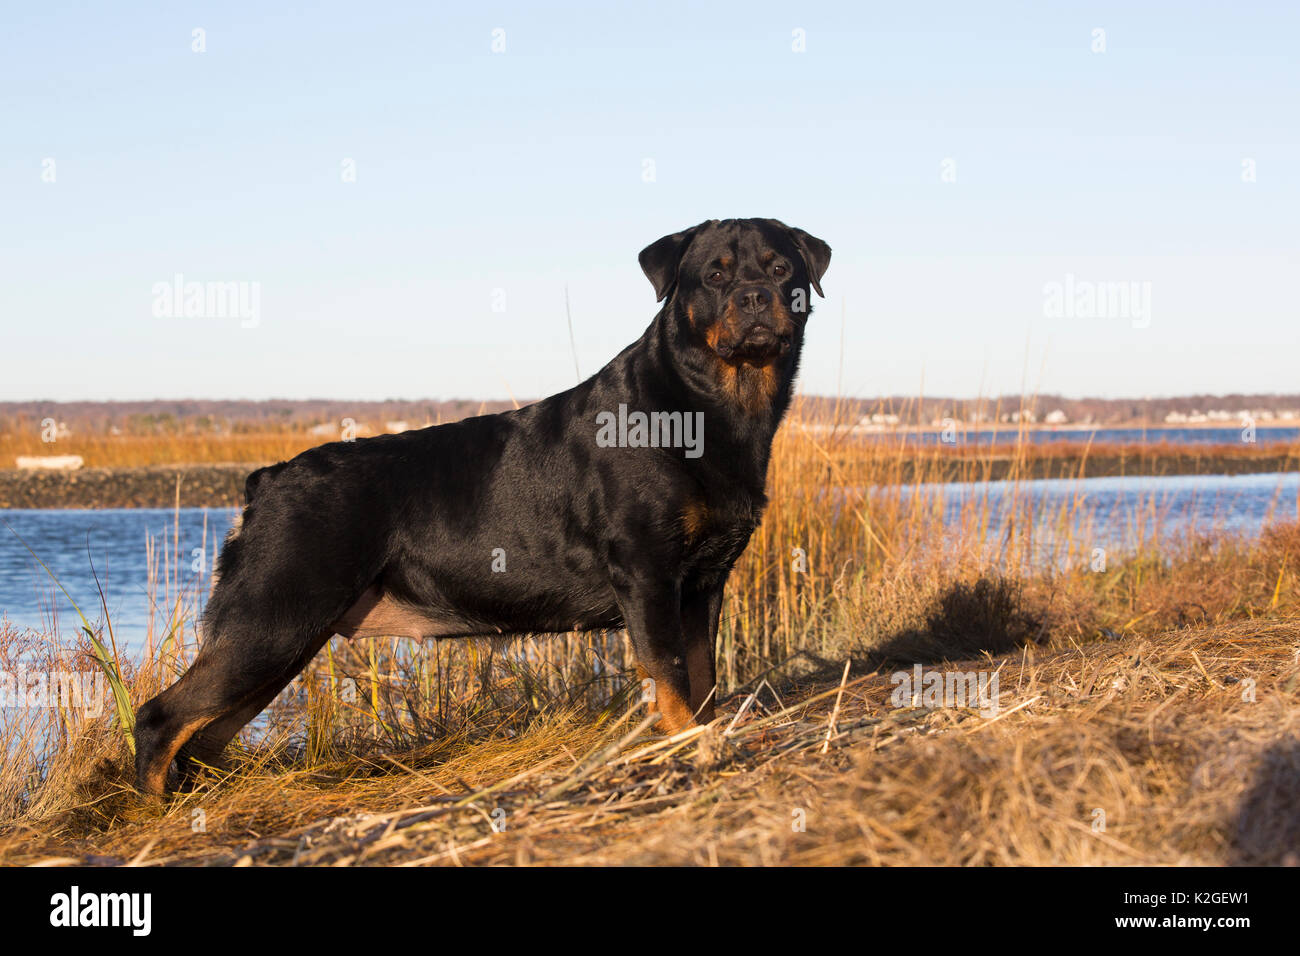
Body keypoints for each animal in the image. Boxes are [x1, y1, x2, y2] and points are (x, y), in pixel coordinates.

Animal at [134, 217, 832, 790]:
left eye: (780, 269)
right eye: (714, 274)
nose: (754, 296)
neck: (711, 407)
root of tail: (268, 479)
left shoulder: (704, 582)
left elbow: (703, 677)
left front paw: (708, 739)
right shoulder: (647, 573)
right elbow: (670, 678)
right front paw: (688, 746)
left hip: (284, 637)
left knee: (207, 733)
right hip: (272, 618)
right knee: (160, 717)